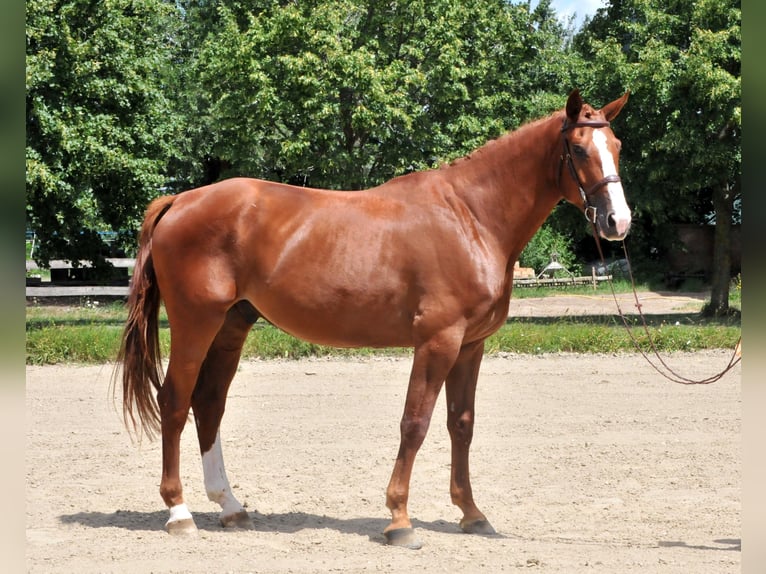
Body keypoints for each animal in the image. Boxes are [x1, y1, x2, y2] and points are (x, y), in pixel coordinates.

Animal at [114, 89, 632, 548]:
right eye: (579, 148)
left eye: (618, 148)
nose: (618, 223)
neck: (470, 217)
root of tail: (180, 201)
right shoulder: (438, 341)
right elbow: (415, 424)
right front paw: (400, 520)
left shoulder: (470, 344)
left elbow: (461, 424)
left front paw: (471, 514)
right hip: (196, 323)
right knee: (175, 401)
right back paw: (179, 512)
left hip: (230, 326)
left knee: (209, 404)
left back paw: (230, 507)